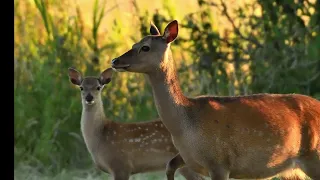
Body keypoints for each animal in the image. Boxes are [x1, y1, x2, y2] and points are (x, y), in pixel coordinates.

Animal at [110, 20, 320, 180]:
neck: (186, 124)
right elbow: (170, 165)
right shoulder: (189, 158)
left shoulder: (219, 162)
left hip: (314, 156)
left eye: (145, 48)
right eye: (134, 45)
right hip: (293, 169)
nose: (115, 61)